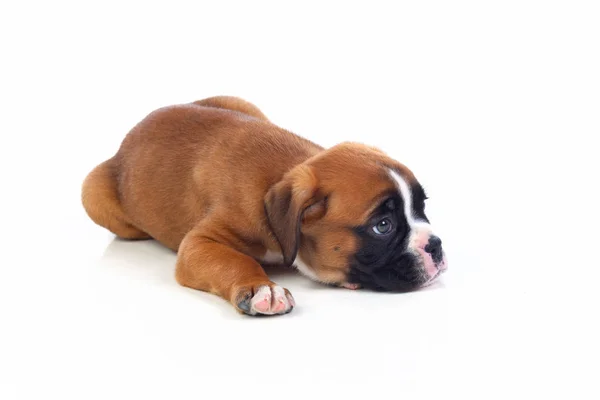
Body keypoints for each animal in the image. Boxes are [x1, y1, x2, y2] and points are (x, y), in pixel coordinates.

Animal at [83, 97, 446, 316]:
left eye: (421, 207)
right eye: (382, 226)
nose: (436, 245)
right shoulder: (199, 244)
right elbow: (233, 261)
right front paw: (261, 288)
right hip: (93, 196)